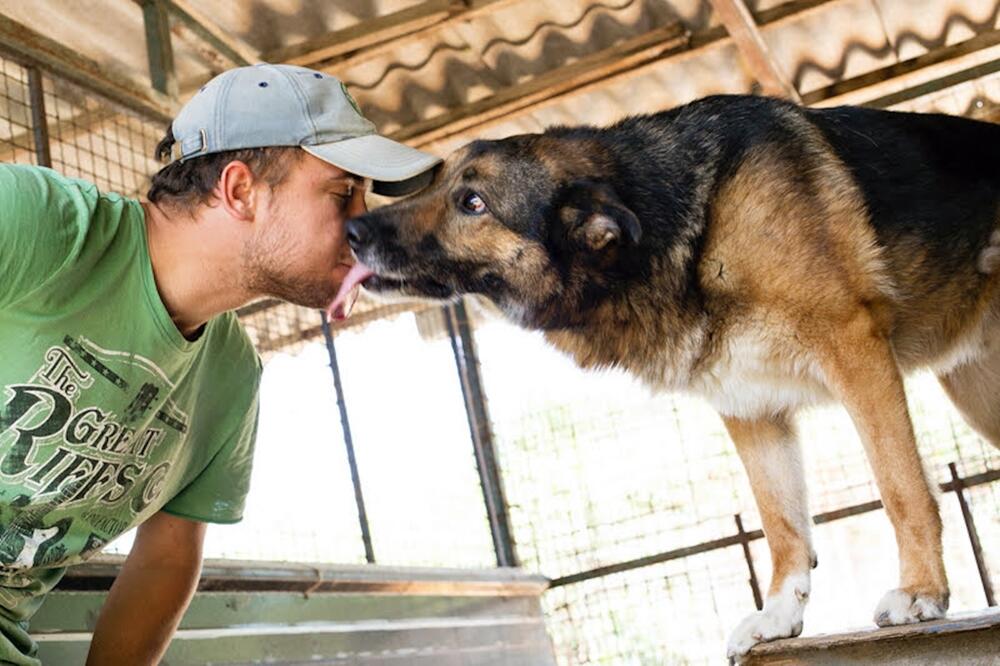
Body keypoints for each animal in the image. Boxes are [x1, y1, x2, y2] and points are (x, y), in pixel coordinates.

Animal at [330, 94, 1000, 660]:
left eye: (473, 204)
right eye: (440, 181)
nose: (351, 232)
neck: (690, 226)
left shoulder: (855, 351)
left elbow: (902, 489)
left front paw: (922, 592)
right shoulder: (750, 408)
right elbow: (782, 525)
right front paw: (780, 617)